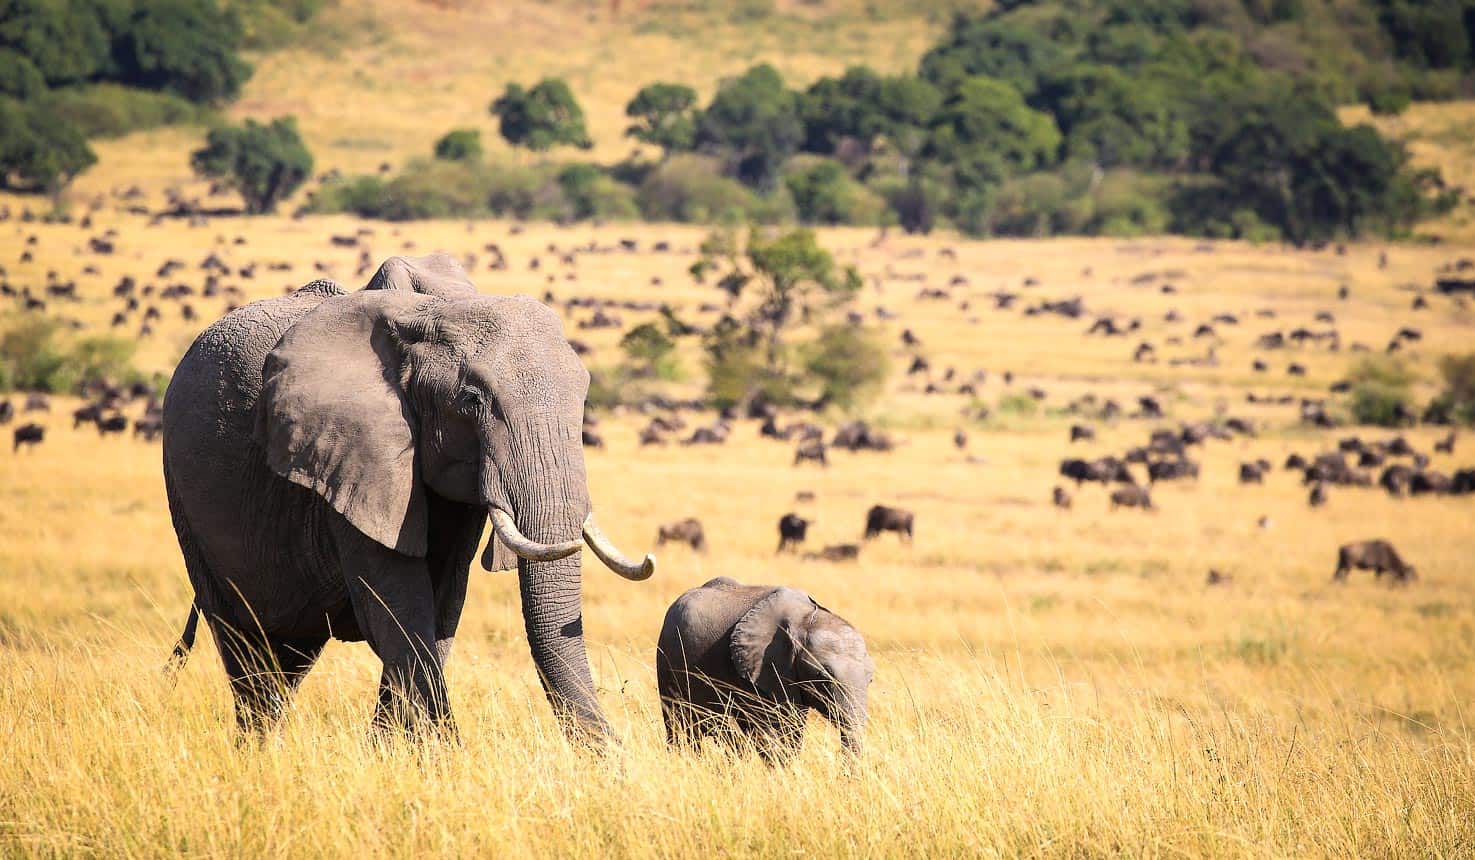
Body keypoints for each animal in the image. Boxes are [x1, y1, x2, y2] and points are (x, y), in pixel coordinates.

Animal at [162, 253, 655, 741]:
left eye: (584, 399)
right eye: (472, 402)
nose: (617, 753)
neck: (426, 315)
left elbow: (441, 605)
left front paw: (394, 749)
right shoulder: (351, 454)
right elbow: (398, 606)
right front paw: (439, 751)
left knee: (287, 657)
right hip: (186, 500)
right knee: (246, 648)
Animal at [656, 577, 874, 762]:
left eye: (870, 679)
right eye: (822, 677)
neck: (805, 619)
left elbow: (792, 727)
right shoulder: (760, 670)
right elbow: (771, 729)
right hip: (666, 659)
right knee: (679, 724)